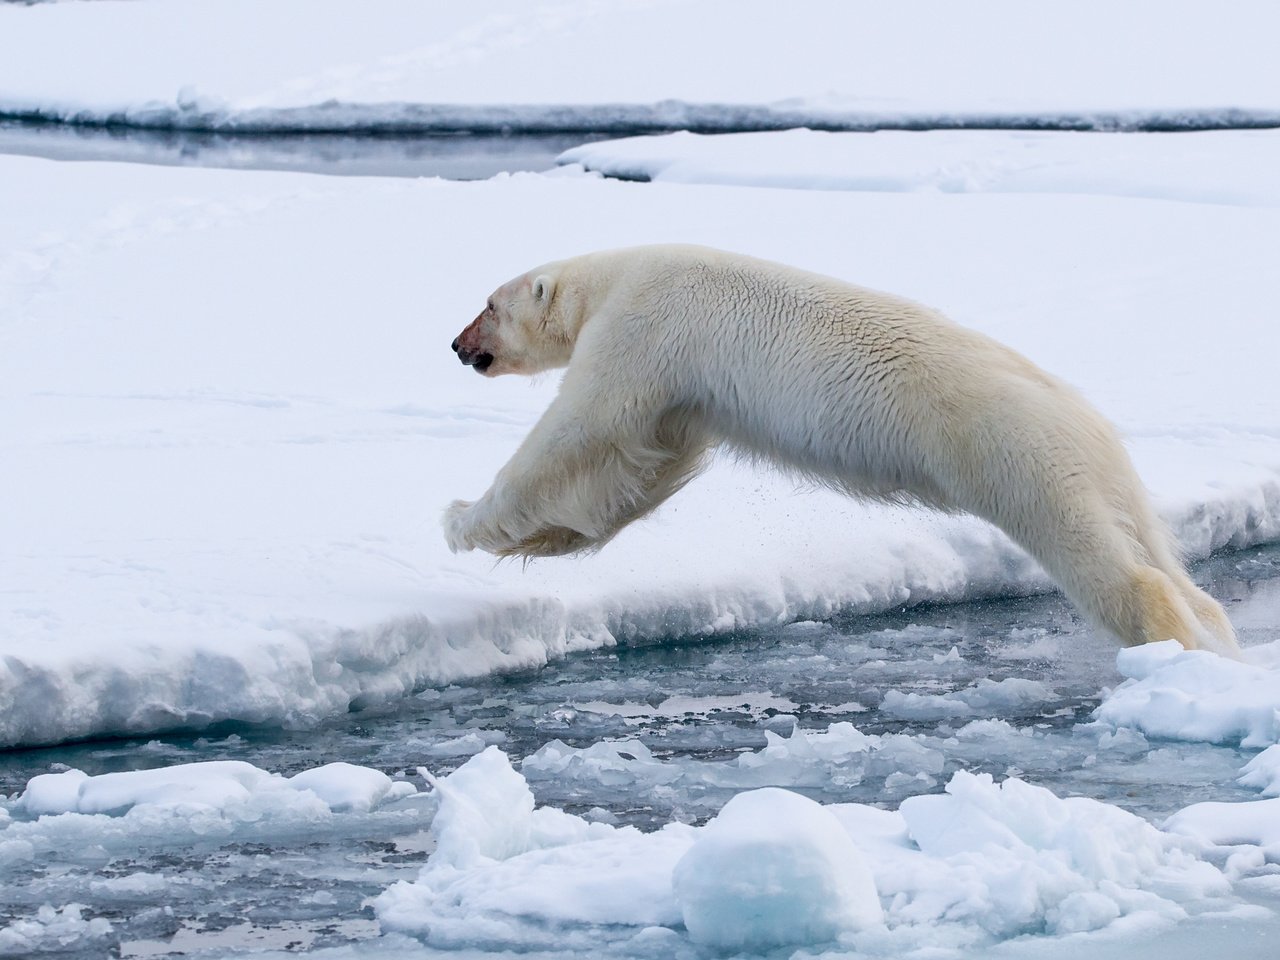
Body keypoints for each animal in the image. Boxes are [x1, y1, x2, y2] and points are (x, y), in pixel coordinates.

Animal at [448, 244, 1239, 660]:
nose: (456, 345)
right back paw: (1216, 632)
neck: (613, 278)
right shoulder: (685, 399)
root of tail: (1082, 417)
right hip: (1102, 469)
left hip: (1012, 454)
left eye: (488, 305)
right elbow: (638, 470)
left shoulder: (641, 330)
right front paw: (542, 538)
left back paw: (1172, 643)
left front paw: (461, 519)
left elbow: (582, 433)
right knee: (1149, 542)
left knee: (1098, 557)